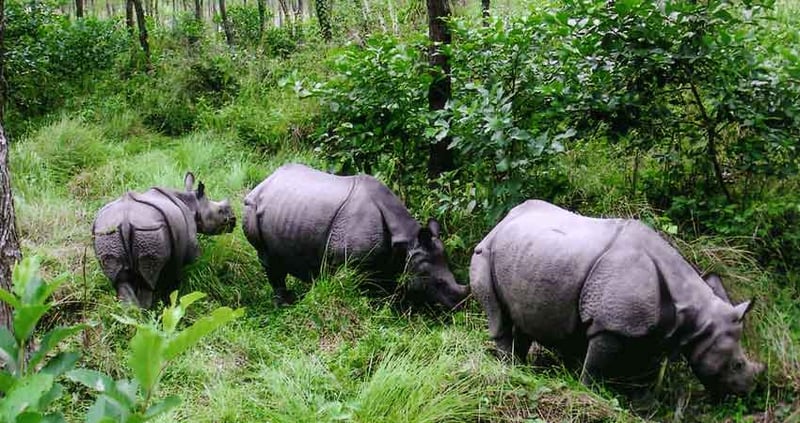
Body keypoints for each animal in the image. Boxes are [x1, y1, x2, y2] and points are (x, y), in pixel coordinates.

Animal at [92, 173, 236, 308]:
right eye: (220, 211)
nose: (234, 220)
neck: (193, 203)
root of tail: (126, 221)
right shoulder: (190, 246)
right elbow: (195, 265)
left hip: (107, 234)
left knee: (120, 281)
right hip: (148, 232)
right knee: (147, 281)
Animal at [242, 163, 469, 308]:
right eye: (438, 282)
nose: (458, 306)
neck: (408, 240)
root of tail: (265, 181)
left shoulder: (388, 259)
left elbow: (382, 288)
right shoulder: (346, 262)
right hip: (251, 206)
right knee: (266, 257)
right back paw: (284, 304)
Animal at [470, 200, 763, 396]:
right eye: (737, 364)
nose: (749, 391)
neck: (695, 315)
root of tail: (500, 223)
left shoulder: (651, 329)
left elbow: (642, 370)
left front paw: (640, 402)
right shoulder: (610, 325)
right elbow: (595, 366)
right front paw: (588, 392)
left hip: (527, 254)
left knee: (523, 316)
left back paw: (521, 368)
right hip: (485, 252)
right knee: (498, 315)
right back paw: (509, 368)